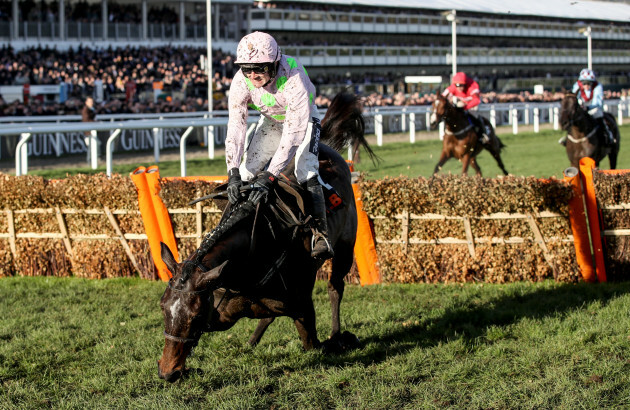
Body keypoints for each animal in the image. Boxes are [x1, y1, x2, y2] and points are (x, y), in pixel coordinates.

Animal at [158, 91, 376, 382]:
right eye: (163, 307)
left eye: (194, 315)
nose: (168, 372)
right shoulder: (222, 309)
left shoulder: (303, 308)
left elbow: (315, 344)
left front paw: (344, 341)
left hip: (344, 248)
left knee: (335, 287)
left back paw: (336, 333)